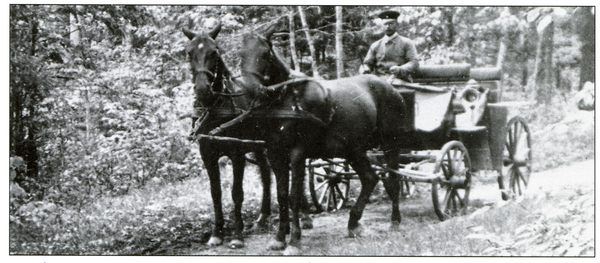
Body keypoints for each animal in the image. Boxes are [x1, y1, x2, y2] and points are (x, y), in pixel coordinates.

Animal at [182, 24, 274, 250]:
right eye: (189, 53)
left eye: (214, 52)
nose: (202, 89)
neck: (215, 109)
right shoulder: (207, 154)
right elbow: (216, 193)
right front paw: (217, 233)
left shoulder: (237, 153)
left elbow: (236, 193)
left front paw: (237, 234)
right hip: (258, 146)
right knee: (266, 173)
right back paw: (262, 217)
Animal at [237, 26, 410, 254]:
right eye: (241, 54)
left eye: (266, 54)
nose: (250, 90)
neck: (287, 100)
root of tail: (392, 90)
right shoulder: (275, 153)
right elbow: (281, 195)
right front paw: (279, 238)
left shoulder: (298, 153)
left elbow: (293, 196)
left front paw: (294, 240)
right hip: (353, 149)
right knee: (370, 178)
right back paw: (353, 223)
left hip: (391, 144)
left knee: (393, 181)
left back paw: (394, 221)